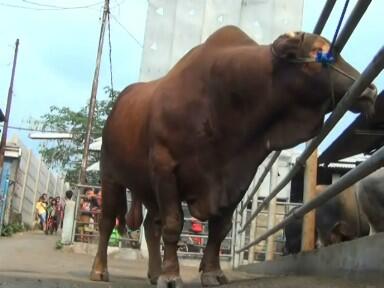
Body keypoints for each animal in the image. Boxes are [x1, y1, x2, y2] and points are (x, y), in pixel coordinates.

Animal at [89, 25, 376, 286]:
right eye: (319, 51)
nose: (371, 89)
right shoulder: (165, 168)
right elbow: (173, 224)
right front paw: (171, 276)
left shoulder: (237, 177)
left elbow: (220, 229)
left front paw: (211, 273)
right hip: (111, 177)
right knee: (107, 221)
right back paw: (100, 270)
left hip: (147, 189)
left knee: (151, 226)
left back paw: (154, 273)